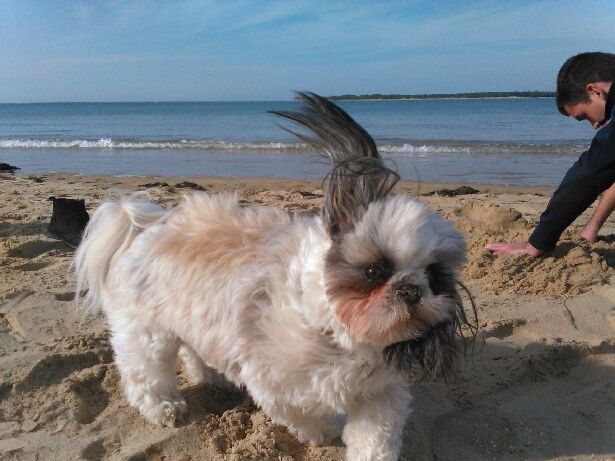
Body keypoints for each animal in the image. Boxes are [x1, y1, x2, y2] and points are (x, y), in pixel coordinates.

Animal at [72, 91, 476, 458]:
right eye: (375, 270)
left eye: (435, 277)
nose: (411, 290)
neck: (336, 331)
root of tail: (144, 226)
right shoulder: (279, 386)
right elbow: (307, 417)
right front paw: (326, 430)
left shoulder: (379, 392)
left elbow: (374, 437)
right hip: (147, 332)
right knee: (146, 373)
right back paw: (164, 407)